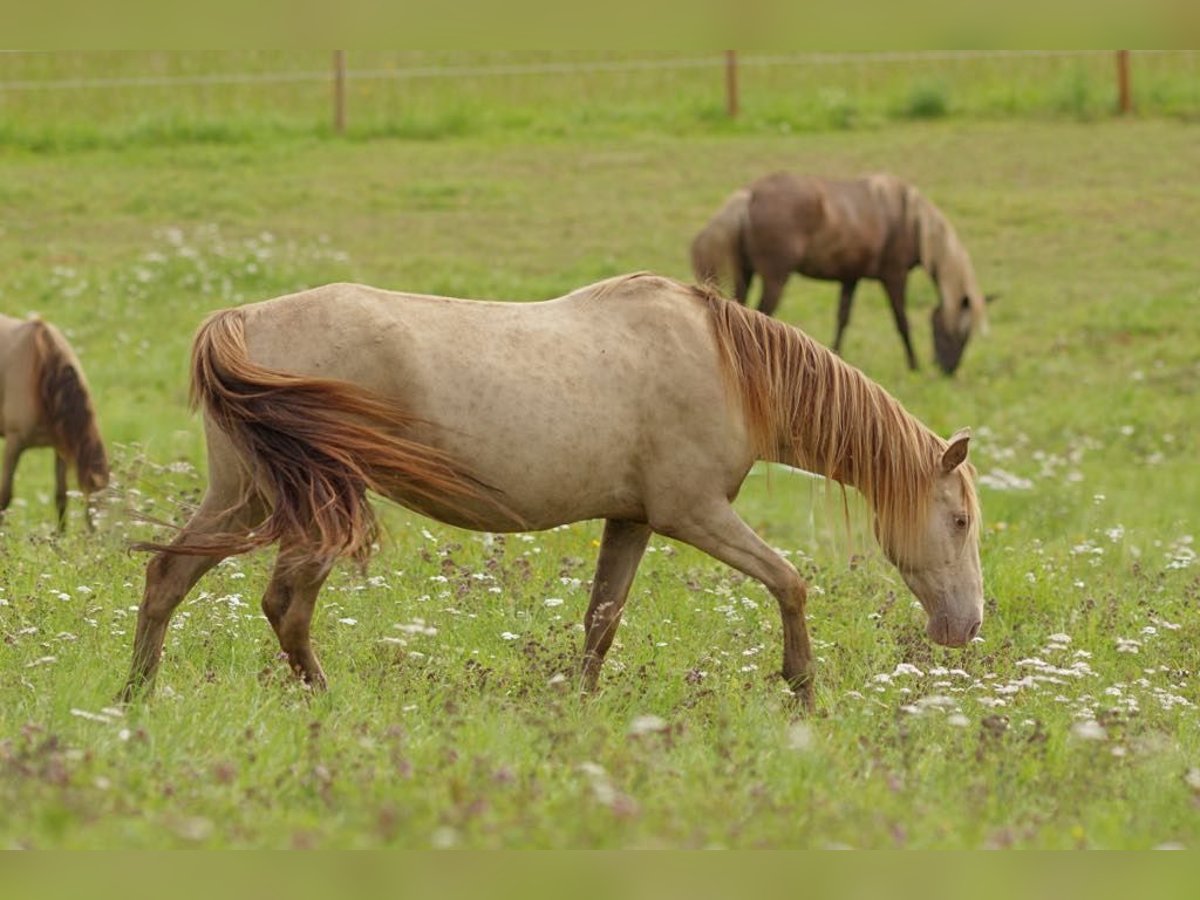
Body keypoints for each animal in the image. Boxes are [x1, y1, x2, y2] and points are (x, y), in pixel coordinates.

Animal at [121, 274, 984, 710]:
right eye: (960, 519)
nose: (968, 626)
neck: (725, 365)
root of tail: (240, 320)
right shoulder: (695, 514)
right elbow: (790, 583)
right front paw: (803, 689)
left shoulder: (633, 520)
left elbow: (602, 620)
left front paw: (579, 708)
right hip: (313, 504)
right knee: (284, 606)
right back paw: (324, 703)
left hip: (245, 497)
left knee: (169, 577)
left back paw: (136, 696)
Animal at [691, 172, 988, 374]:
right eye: (959, 334)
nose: (948, 371)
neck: (910, 221)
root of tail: (749, 195)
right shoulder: (894, 276)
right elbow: (901, 321)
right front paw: (913, 365)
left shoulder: (850, 277)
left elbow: (843, 319)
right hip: (775, 279)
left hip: (746, 274)